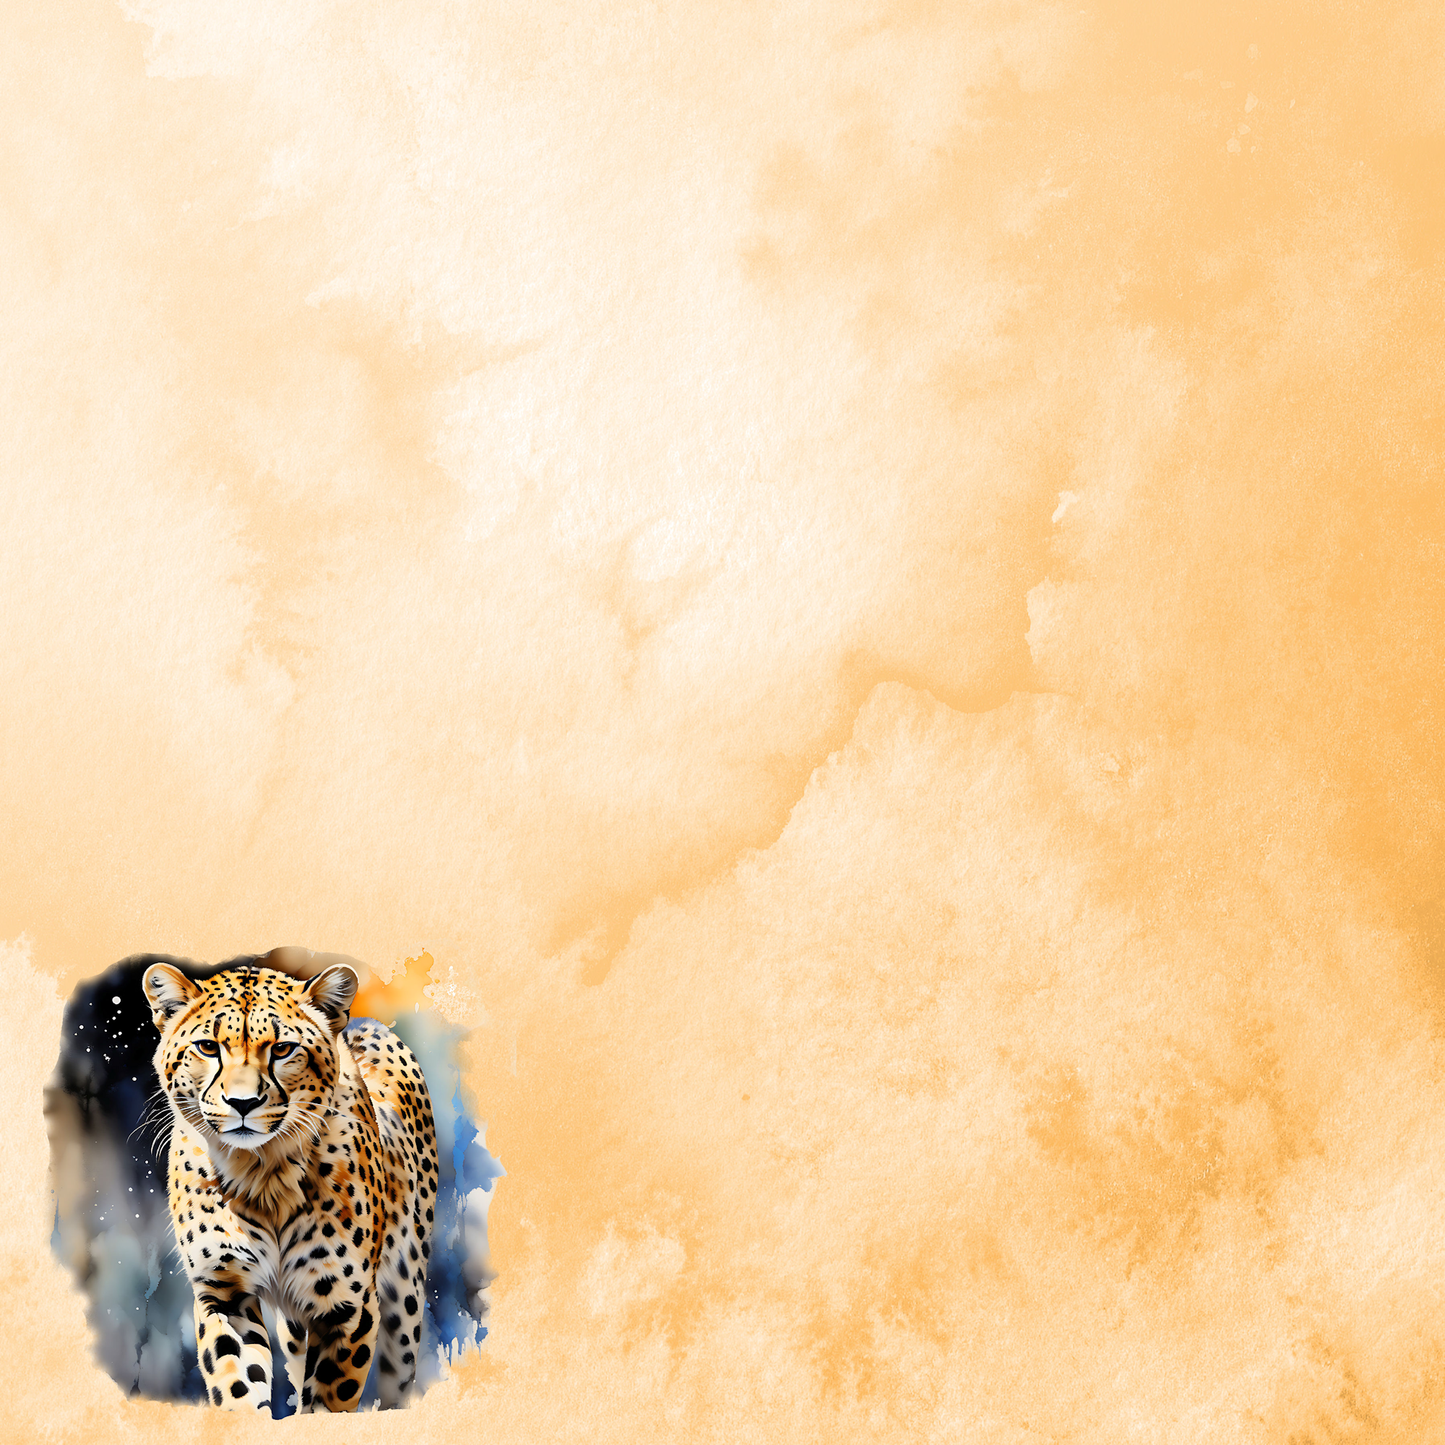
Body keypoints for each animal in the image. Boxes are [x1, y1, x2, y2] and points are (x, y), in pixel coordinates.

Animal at [143, 960, 440, 1413]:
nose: (243, 1103)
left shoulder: (348, 1306)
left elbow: (332, 1397)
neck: (261, 1172)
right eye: (208, 1047)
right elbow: (237, 1382)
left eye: (282, 1050)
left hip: (406, 1295)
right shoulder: (223, 1293)